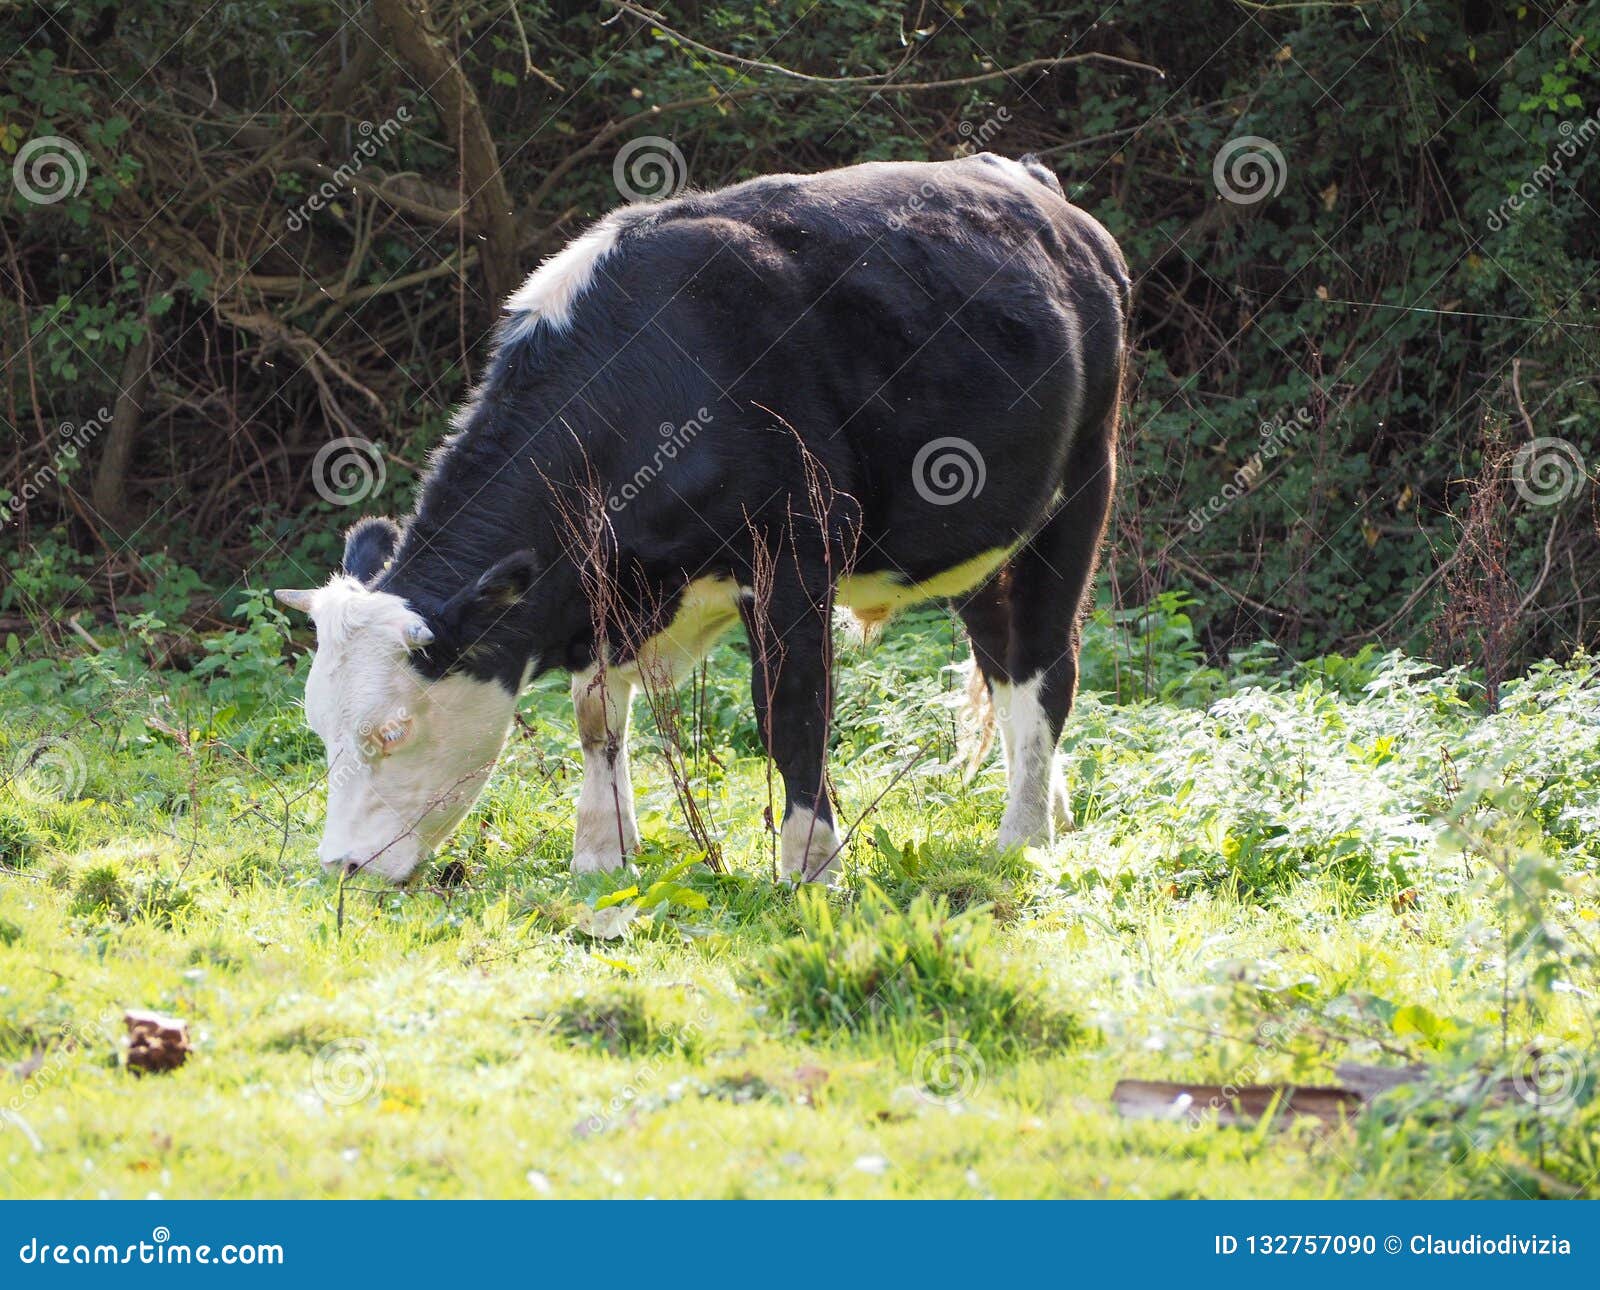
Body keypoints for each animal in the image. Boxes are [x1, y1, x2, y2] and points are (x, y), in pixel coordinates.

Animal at [272, 146, 1126, 883]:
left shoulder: (795, 553)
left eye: (392, 732)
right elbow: (596, 715)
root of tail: (1030, 182)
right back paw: (1047, 803)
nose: (340, 866)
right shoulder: (611, 592)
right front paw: (604, 853)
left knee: (1048, 662)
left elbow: (789, 709)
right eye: (317, 729)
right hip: (982, 539)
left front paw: (811, 867)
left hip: (1082, 489)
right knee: (1005, 663)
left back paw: (1024, 837)